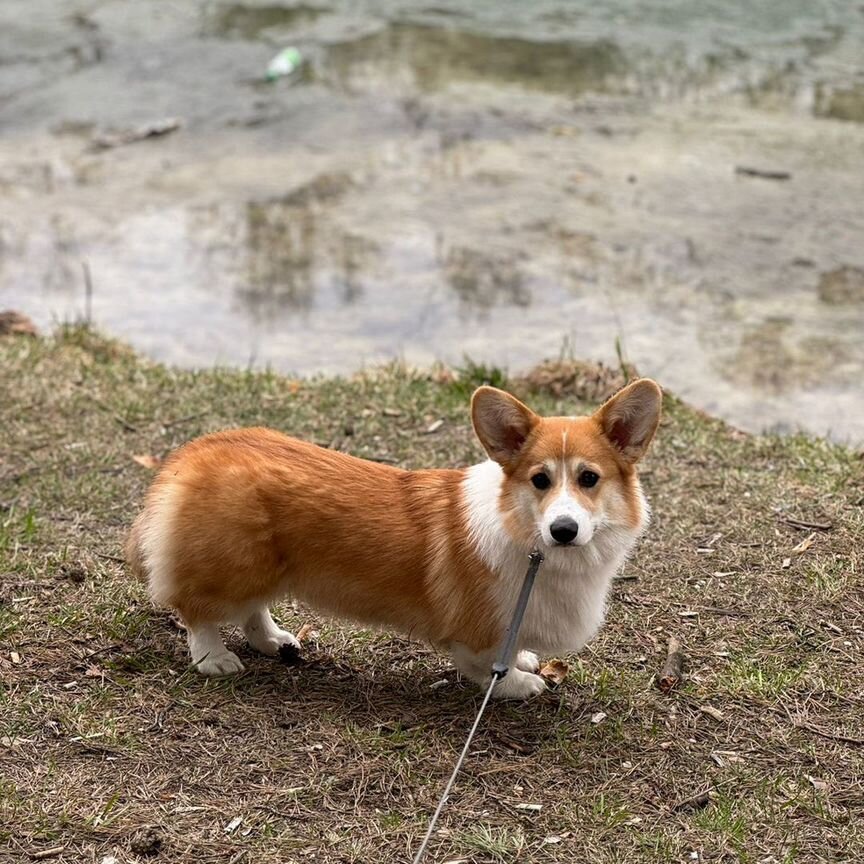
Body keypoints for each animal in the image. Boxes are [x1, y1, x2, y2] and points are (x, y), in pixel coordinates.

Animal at [125, 382, 660, 700]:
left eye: (589, 479)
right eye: (540, 480)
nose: (563, 530)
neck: (527, 536)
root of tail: (192, 453)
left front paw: (523, 660)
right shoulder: (475, 635)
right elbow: (485, 665)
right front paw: (519, 682)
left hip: (265, 568)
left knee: (253, 611)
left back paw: (275, 640)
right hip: (234, 566)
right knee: (196, 609)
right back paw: (213, 658)